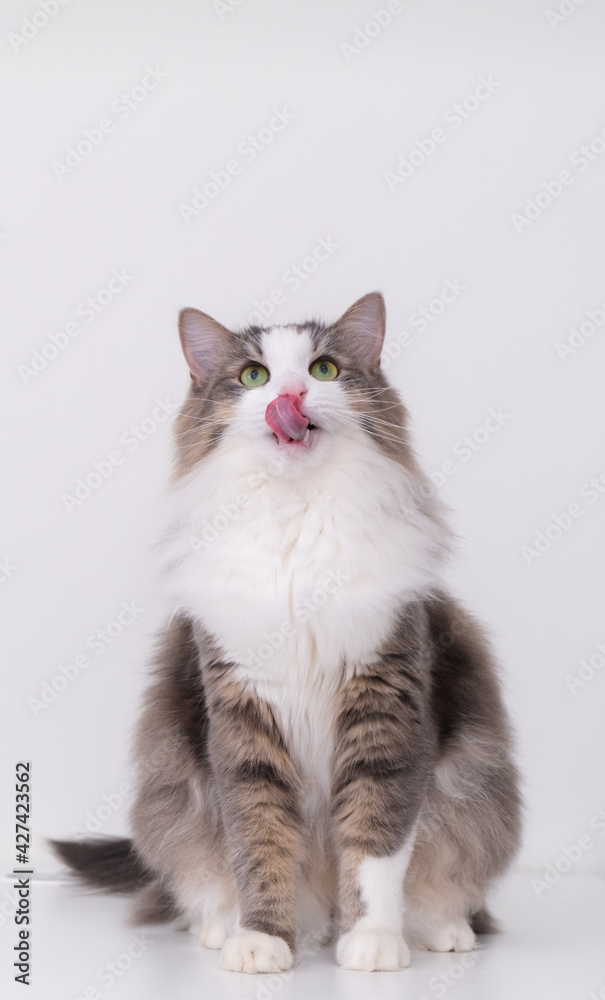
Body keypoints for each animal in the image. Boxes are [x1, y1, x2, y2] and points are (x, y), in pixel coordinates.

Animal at [54, 292, 520, 972]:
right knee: (203, 877)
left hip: (469, 788)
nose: (292, 395)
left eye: (323, 369)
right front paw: (262, 939)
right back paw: (221, 927)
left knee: (445, 879)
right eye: (255, 376)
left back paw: (439, 930)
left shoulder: (385, 706)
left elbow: (376, 845)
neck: (297, 516)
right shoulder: (242, 717)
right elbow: (259, 842)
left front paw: (373, 941)